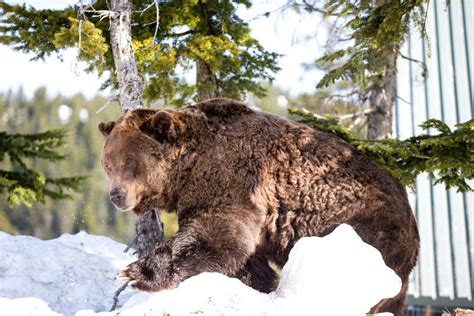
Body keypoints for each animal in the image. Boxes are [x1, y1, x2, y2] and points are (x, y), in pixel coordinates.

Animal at [100, 97, 418, 314]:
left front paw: (135, 272)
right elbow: (244, 256)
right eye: (108, 164)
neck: (188, 169)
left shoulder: (232, 181)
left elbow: (217, 236)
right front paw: (260, 283)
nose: (116, 196)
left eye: (130, 162)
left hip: (367, 226)